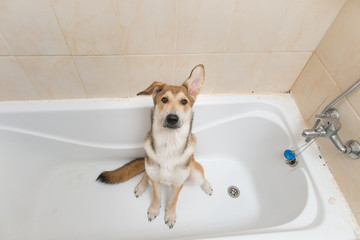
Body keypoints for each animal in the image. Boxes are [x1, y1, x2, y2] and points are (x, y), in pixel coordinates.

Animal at [97, 64, 212, 229]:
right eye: (164, 99)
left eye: (184, 102)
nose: (172, 118)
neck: (169, 143)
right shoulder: (156, 180)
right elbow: (157, 197)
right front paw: (154, 210)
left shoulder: (178, 183)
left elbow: (172, 201)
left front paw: (170, 215)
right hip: (150, 166)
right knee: (146, 173)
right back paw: (141, 185)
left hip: (195, 172)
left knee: (201, 176)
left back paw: (207, 185)